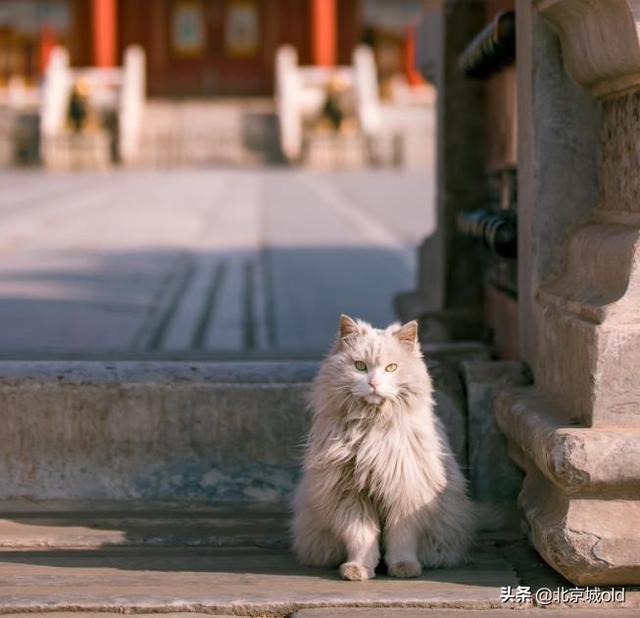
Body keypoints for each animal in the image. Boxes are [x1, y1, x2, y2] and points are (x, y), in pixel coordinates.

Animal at [294, 312, 476, 576]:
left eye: (391, 368)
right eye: (360, 366)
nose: (374, 383)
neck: (371, 429)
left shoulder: (405, 491)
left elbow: (401, 539)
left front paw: (404, 568)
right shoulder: (350, 495)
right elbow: (361, 537)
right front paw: (357, 569)